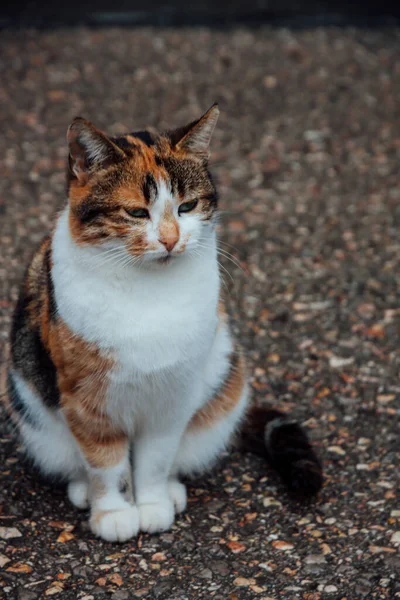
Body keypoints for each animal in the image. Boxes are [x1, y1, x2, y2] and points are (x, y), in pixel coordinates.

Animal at [6, 105, 322, 540]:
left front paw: (152, 505)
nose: (171, 240)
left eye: (187, 207)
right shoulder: (86, 398)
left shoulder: (173, 396)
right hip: (38, 421)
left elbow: (155, 460)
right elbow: (106, 463)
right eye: (137, 212)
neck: (149, 291)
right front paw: (114, 512)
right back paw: (83, 490)